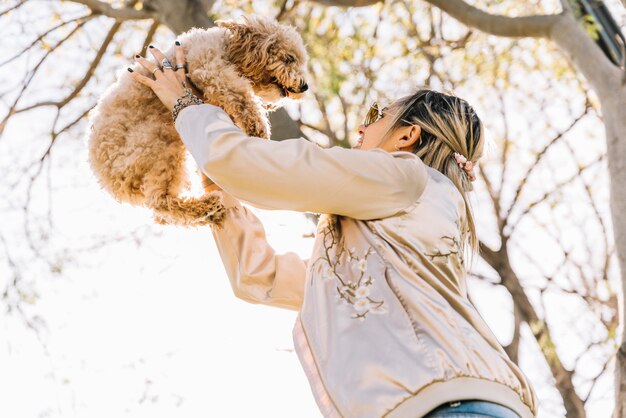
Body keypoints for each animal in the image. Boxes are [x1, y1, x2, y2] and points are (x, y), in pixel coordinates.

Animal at [85, 14, 310, 229]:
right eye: (289, 58)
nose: (305, 86)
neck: (228, 47)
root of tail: (105, 175)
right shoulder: (211, 71)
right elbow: (242, 97)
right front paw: (258, 130)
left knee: (161, 213)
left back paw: (211, 213)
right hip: (156, 144)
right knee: (159, 202)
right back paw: (206, 207)